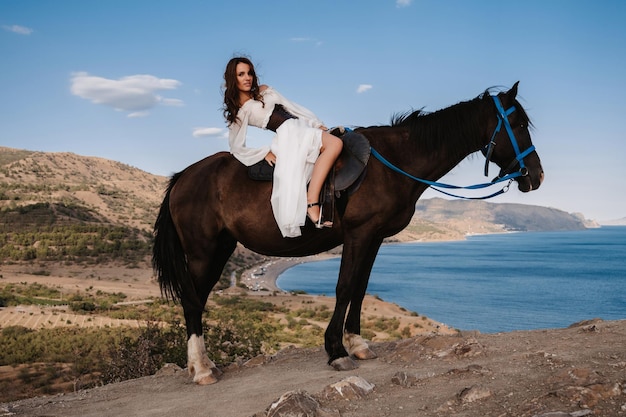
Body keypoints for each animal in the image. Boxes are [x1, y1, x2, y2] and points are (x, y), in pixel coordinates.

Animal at [151, 82, 540, 384]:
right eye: (517, 123)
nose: (536, 175)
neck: (395, 161)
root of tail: (184, 176)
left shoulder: (375, 237)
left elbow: (361, 288)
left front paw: (357, 343)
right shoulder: (358, 234)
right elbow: (343, 287)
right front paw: (337, 351)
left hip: (220, 248)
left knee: (197, 299)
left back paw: (201, 364)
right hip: (203, 251)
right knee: (192, 300)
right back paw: (202, 369)